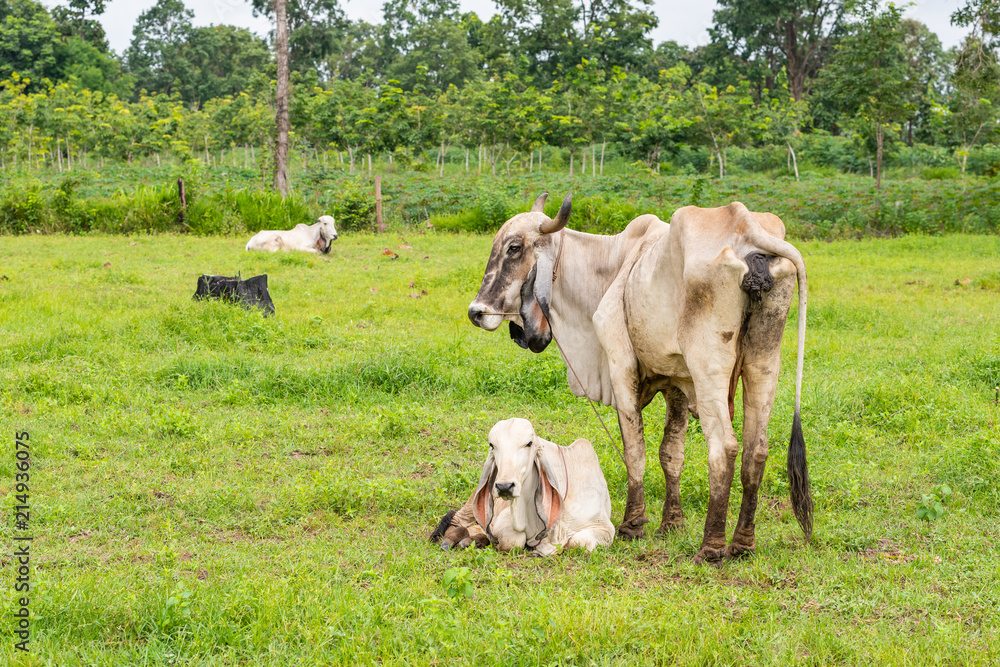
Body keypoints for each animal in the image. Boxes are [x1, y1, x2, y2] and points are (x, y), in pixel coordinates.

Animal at [430, 418, 615, 556]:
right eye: (492, 445)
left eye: (529, 443)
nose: (504, 486)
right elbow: (513, 541)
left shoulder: (604, 527)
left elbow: (580, 542)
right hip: (471, 505)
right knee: (456, 520)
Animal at [466, 193, 813, 564]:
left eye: (514, 248)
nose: (476, 312)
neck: (611, 264)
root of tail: (746, 226)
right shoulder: (678, 384)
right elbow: (671, 454)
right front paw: (671, 523)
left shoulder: (621, 368)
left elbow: (635, 450)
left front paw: (633, 524)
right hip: (764, 361)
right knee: (756, 450)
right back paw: (742, 543)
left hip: (709, 366)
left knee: (724, 447)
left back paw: (712, 546)